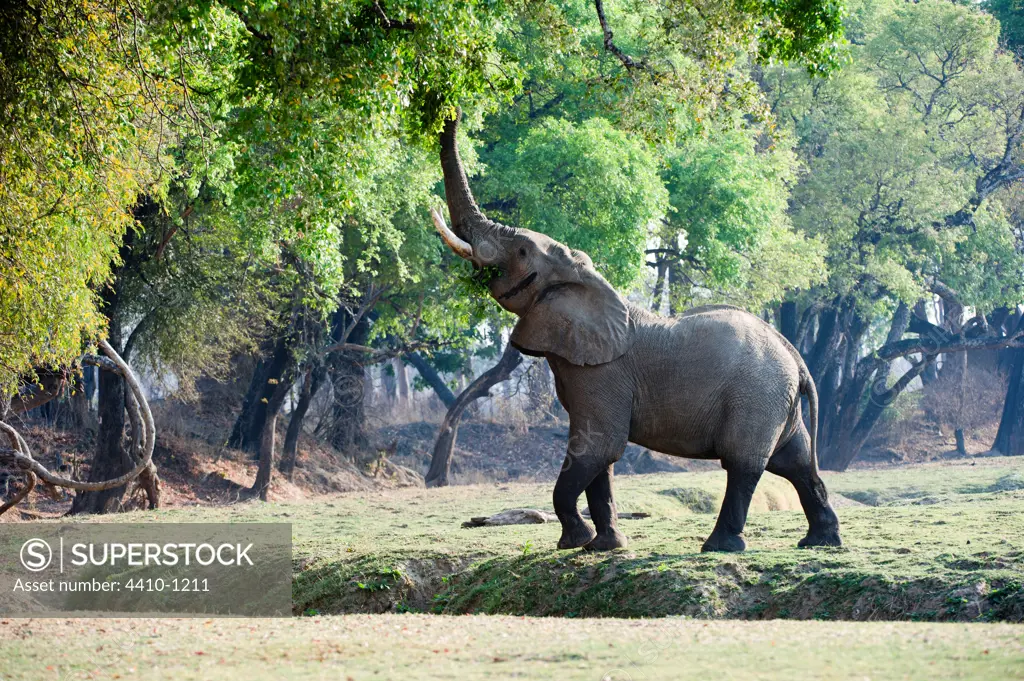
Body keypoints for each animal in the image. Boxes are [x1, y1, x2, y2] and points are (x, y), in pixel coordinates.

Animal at [432, 110, 839, 548]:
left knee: (745, 464)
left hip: (757, 396)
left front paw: (574, 541)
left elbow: (597, 448)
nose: (452, 110)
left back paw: (719, 546)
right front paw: (605, 546)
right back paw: (820, 542)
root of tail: (797, 359)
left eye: (522, 251)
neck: (587, 281)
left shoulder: (602, 374)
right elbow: (600, 463)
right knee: (797, 464)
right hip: (777, 401)